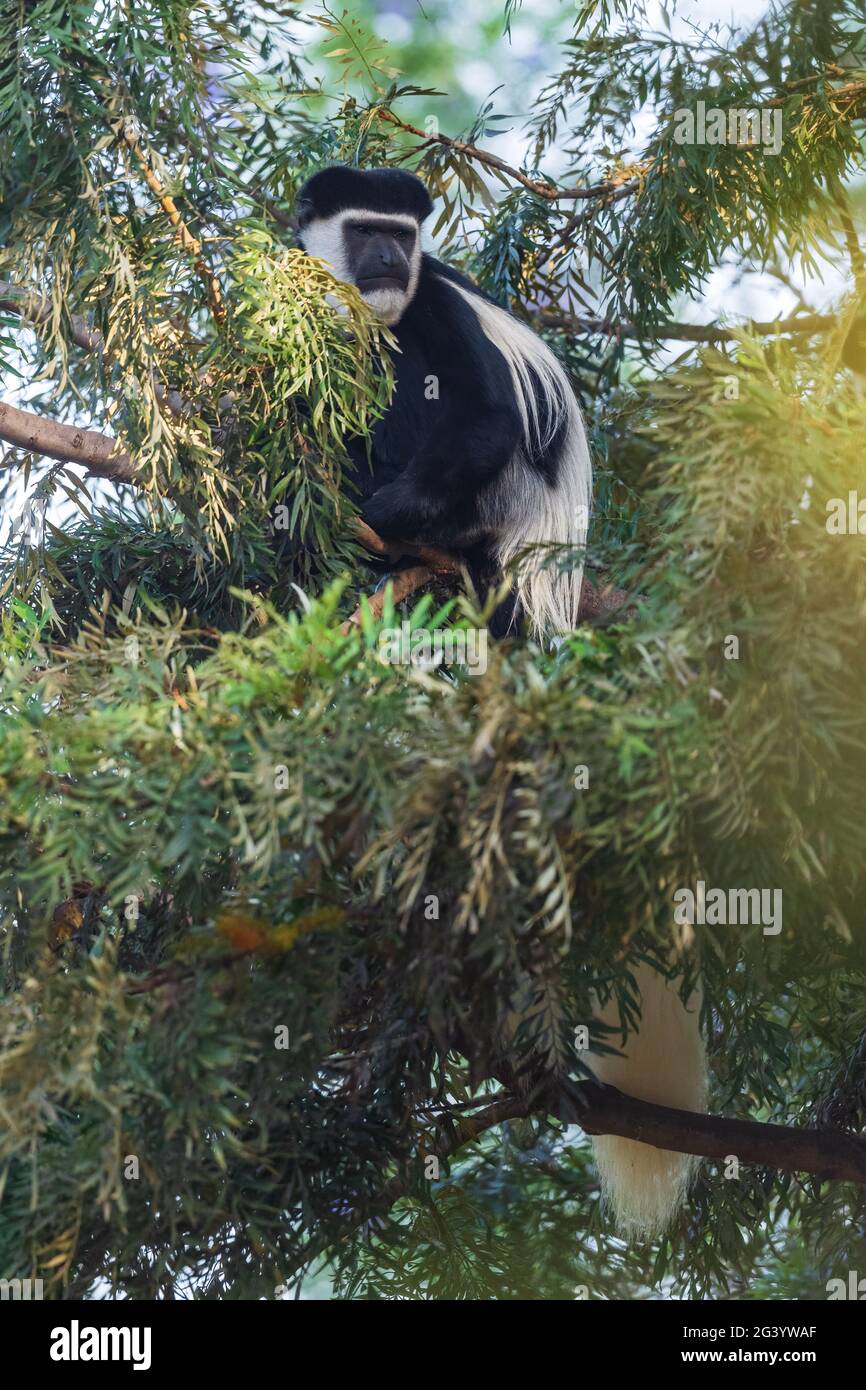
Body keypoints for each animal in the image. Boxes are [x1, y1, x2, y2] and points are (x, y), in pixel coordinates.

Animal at [294, 165, 592, 636]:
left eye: (401, 235)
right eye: (363, 231)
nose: (390, 260)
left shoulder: (438, 301)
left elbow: (488, 413)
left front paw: (383, 509)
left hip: (505, 497)